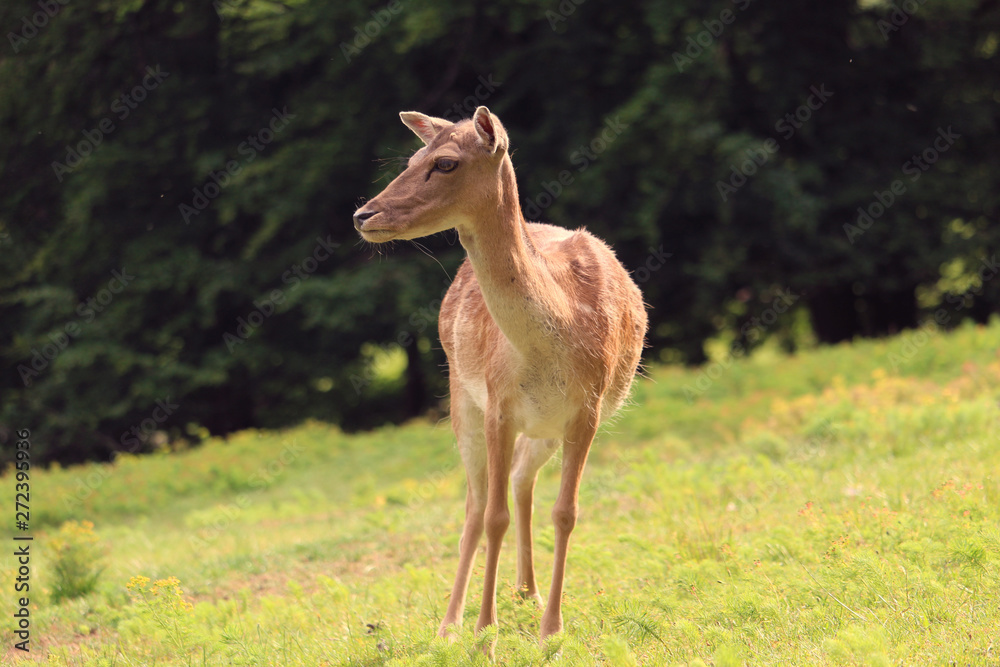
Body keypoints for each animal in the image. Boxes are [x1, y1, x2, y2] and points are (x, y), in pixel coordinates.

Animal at [353, 106, 647, 651]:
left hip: (542, 428)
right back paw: (450, 623)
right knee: (475, 505)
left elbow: (566, 512)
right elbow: (492, 517)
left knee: (520, 480)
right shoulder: (497, 403)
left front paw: (551, 629)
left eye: (445, 162)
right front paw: (484, 631)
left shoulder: (586, 410)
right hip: (459, 399)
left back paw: (527, 594)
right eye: (411, 160)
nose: (364, 215)